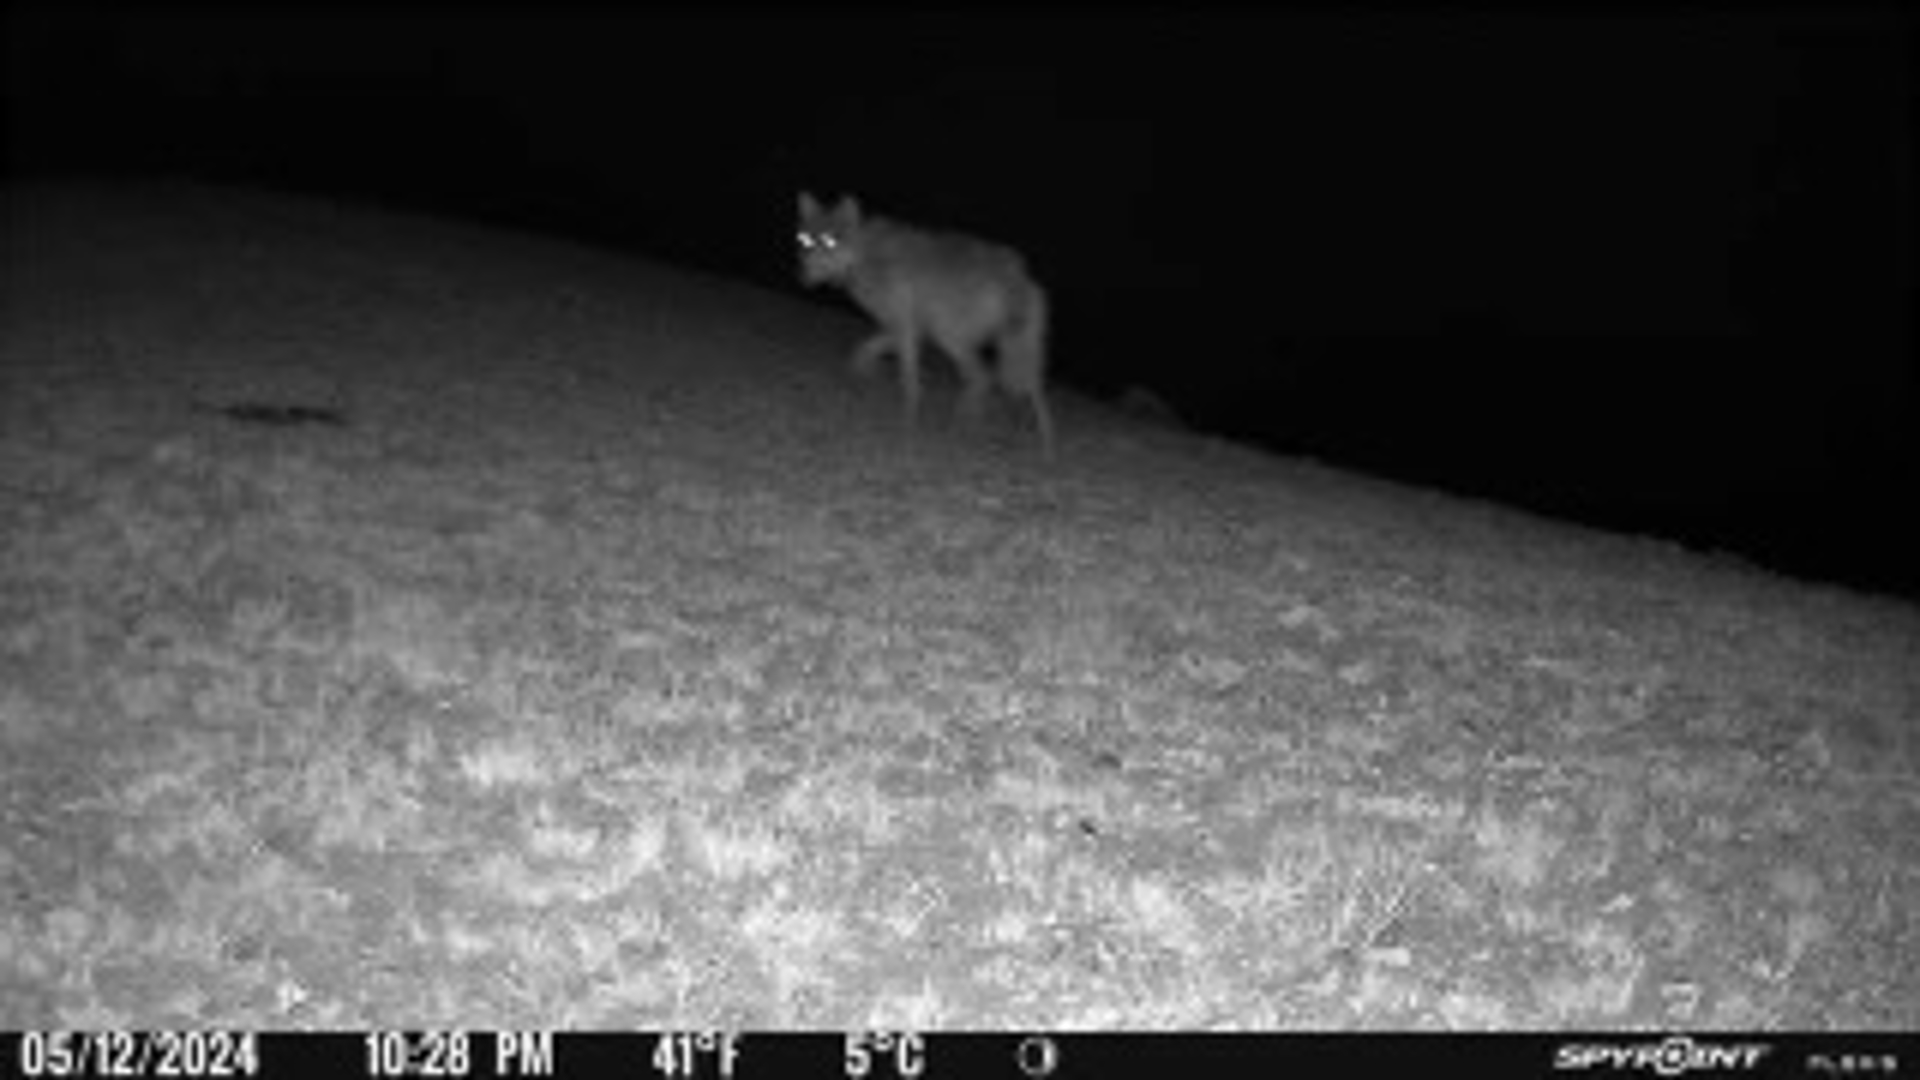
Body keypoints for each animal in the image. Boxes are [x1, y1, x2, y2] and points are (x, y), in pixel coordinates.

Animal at [797, 192, 1055, 457]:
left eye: (830, 242)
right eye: (805, 240)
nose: (803, 277)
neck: (864, 257)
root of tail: (1019, 273)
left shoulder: (905, 328)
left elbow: (908, 380)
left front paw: (907, 423)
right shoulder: (909, 329)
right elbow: (865, 349)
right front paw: (861, 373)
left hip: (953, 338)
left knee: (984, 377)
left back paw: (963, 423)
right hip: (1007, 349)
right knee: (1022, 390)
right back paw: (1042, 447)